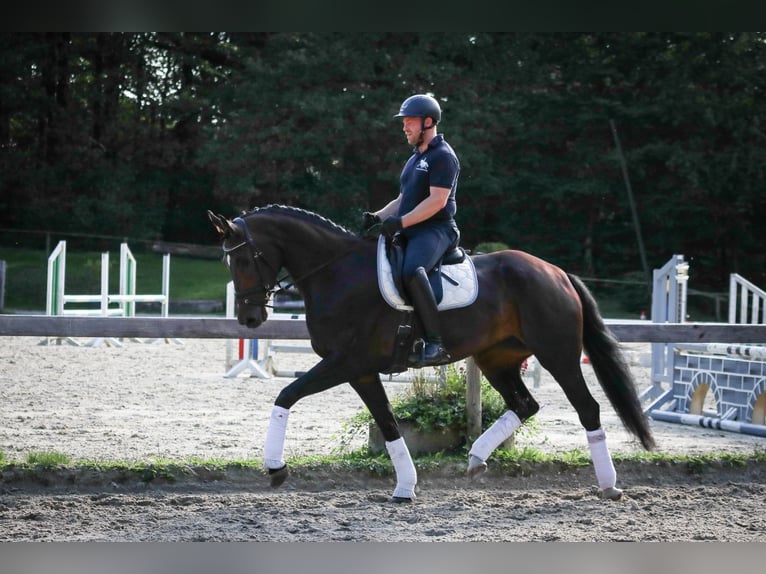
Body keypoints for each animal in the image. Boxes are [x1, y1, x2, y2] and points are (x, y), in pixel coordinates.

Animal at [208, 207, 656, 504]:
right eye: (227, 260)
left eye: (244, 258)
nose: (249, 318)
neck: (336, 273)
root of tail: (557, 272)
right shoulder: (360, 372)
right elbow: (388, 424)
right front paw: (405, 487)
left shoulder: (345, 362)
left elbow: (286, 395)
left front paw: (276, 468)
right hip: (497, 359)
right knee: (525, 404)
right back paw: (475, 459)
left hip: (557, 355)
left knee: (588, 408)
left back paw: (609, 485)